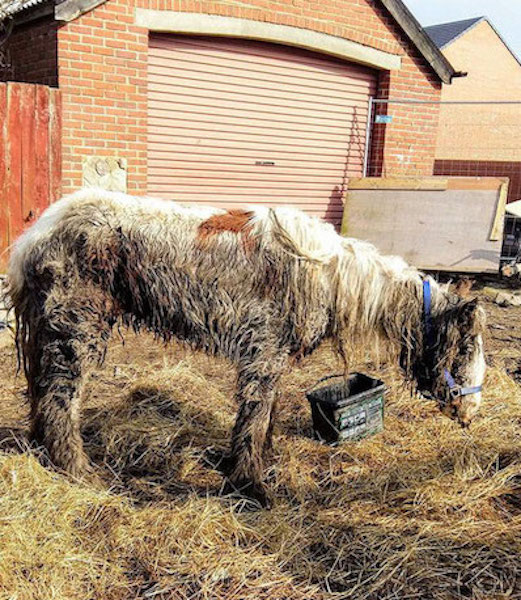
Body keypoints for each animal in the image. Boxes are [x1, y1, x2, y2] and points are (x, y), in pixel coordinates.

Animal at [6, 188, 486, 506]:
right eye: (464, 350)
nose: (472, 412)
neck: (330, 276)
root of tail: (37, 233)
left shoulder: (271, 358)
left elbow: (264, 416)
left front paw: (256, 464)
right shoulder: (264, 354)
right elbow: (255, 417)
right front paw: (251, 486)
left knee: (43, 395)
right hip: (76, 332)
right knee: (59, 399)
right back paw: (76, 470)